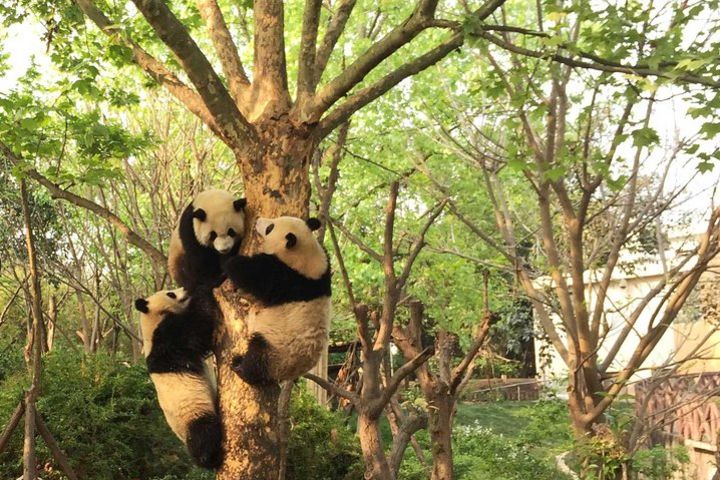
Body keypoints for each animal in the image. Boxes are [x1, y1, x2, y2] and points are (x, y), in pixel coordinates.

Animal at [132, 288, 222, 468]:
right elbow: (197, 328)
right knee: (204, 433)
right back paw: (209, 458)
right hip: (192, 415)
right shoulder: (166, 339)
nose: (185, 290)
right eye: (170, 293)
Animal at [224, 217, 330, 386]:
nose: (259, 221)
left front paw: (231, 260)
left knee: (258, 354)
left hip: (277, 350)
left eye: (270, 228)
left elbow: (253, 274)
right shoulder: (324, 272)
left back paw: (241, 367)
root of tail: (288, 374)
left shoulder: (285, 279)